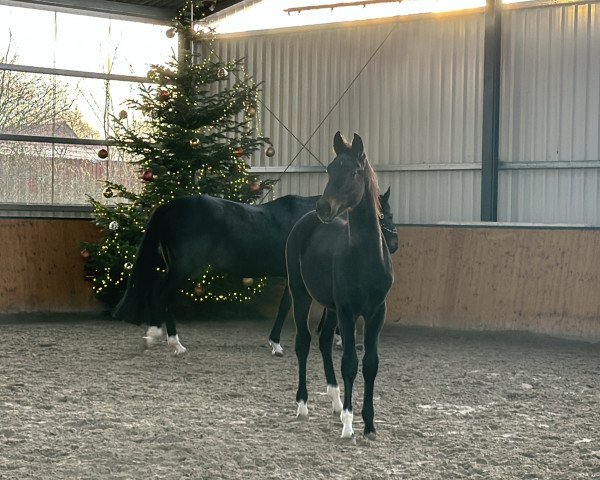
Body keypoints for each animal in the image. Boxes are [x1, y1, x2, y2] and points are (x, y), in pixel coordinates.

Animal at [114, 186, 398, 354]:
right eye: (384, 214)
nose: (394, 244)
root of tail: (167, 207)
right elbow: (286, 308)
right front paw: (277, 344)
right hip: (184, 267)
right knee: (161, 292)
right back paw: (167, 339)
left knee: (161, 292)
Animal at [286, 131, 394, 438]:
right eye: (330, 169)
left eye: (354, 171)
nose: (324, 207)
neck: (366, 258)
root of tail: (306, 221)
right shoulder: (348, 311)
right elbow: (349, 363)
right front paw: (348, 424)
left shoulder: (376, 312)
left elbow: (370, 364)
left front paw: (369, 423)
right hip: (301, 294)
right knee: (304, 342)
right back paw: (303, 405)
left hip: (330, 307)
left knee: (323, 341)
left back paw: (334, 401)